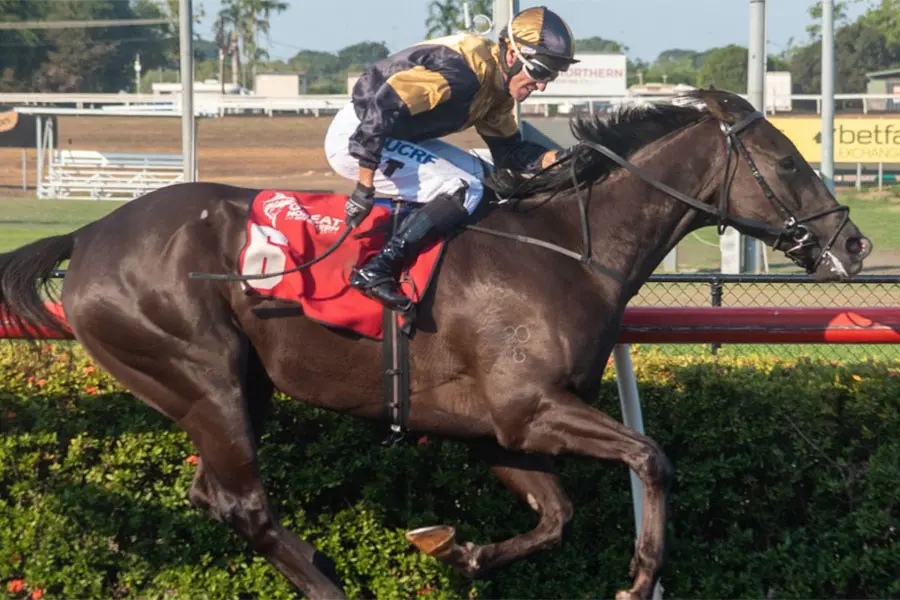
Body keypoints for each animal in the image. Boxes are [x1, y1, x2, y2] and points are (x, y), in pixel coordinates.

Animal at [0, 90, 872, 600]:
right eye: (787, 159)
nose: (855, 245)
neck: (564, 247)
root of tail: (89, 235)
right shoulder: (528, 409)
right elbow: (651, 458)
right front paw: (640, 577)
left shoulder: (500, 430)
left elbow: (557, 517)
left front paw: (458, 552)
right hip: (198, 373)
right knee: (245, 503)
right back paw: (329, 585)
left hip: (239, 386)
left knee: (213, 496)